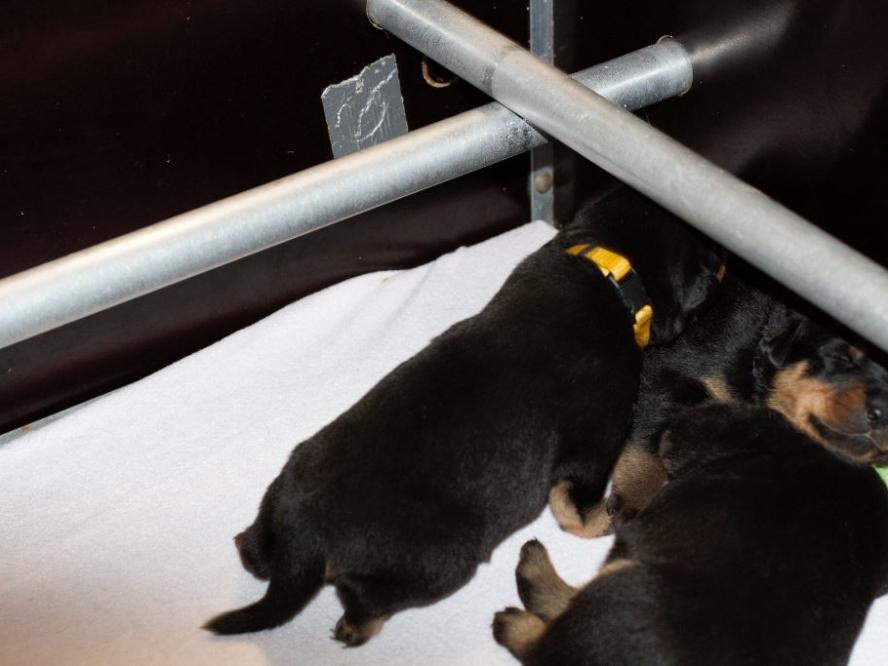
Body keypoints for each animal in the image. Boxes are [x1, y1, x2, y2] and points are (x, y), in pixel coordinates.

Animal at [203, 187, 722, 645]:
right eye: (713, 259)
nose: (728, 264)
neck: (606, 268)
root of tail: (306, 533)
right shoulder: (593, 448)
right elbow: (578, 508)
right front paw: (604, 523)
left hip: (278, 498)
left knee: (253, 550)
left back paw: (250, 548)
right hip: (439, 563)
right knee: (366, 600)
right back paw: (356, 627)